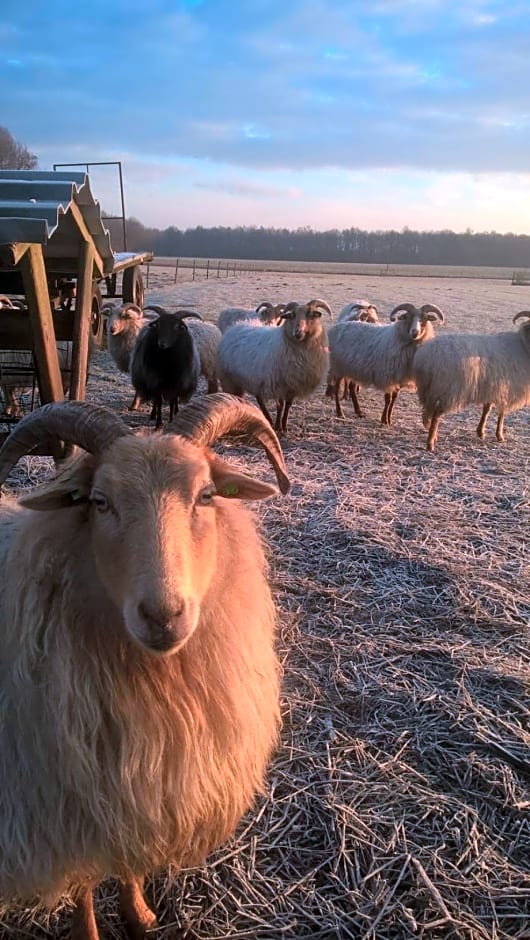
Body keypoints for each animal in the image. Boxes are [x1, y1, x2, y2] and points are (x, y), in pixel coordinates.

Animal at [0, 394, 288, 940]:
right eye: (98, 501)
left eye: (206, 495)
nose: (163, 615)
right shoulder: (73, 803)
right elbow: (85, 881)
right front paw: (89, 930)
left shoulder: (135, 787)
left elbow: (128, 863)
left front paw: (139, 914)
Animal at [214, 298, 330, 434]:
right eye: (292, 315)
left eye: (310, 315)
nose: (298, 333)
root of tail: (235, 326)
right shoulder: (277, 383)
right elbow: (280, 405)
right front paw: (278, 426)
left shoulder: (292, 384)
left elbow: (288, 405)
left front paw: (284, 426)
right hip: (230, 378)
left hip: (255, 379)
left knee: (259, 399)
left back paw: (267, 418)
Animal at [412, 312, 528, 452]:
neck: (523, 344)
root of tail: (429, 354)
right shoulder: (507, 388)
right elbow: (502, 413)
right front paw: (500, 436)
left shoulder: (492, 387)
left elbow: (487, 409)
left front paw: (481, 432)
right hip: (449, 390)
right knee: (436, 416)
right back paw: (430, 444)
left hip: (429, 388)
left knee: (426, 412)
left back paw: (431, 435)